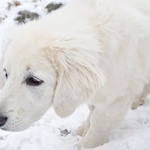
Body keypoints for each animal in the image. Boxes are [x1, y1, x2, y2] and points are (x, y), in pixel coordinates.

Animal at [0, 0, 150, 149]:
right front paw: (84, 127)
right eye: (6, 73)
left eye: (34, 80)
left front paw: (84, 145)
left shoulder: (115, 99)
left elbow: (99, 124)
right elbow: (92, 109)